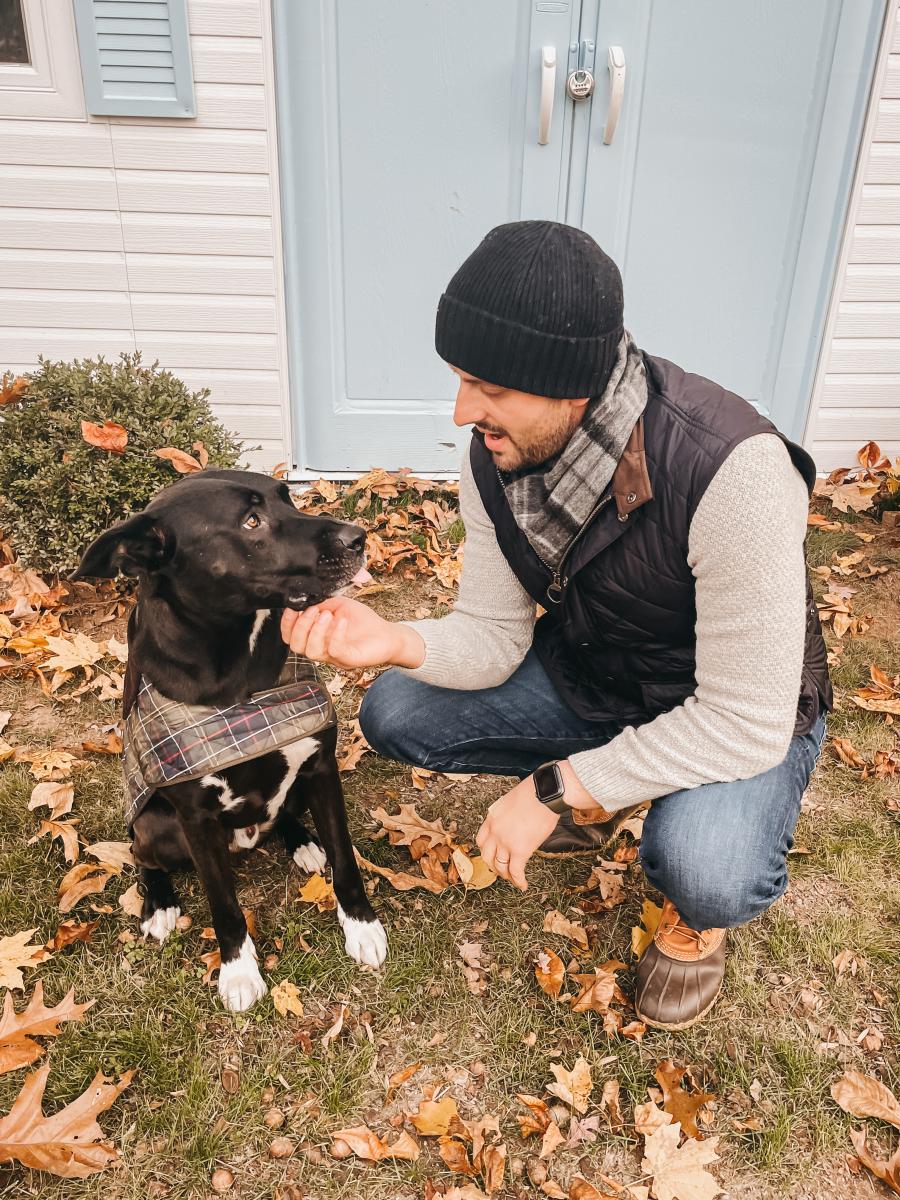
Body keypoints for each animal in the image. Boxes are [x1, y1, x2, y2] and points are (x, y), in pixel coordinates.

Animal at [75, 468, 388, 1012]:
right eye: (250, 521)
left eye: (289, 499)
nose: (359, 537)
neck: (241, 671)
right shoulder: (195, 819)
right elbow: (223, 903)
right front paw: (238, 970)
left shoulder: (321, 767)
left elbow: (346, 859)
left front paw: (362, 927)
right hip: (158, 827)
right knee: (141, 853)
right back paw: (159, 903)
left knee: (285, 813)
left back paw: (303, 842)